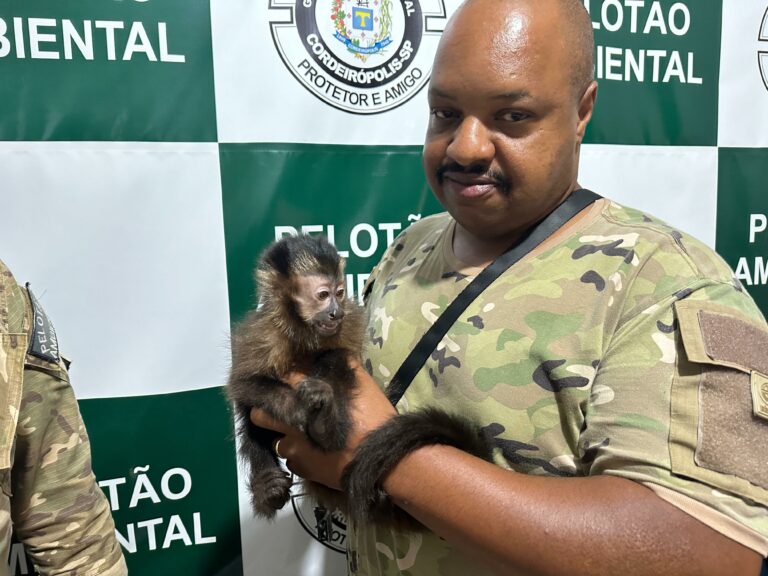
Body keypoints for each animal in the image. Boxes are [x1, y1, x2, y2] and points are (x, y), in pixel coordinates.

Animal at [226, 233, 494, 530]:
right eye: (323, 295)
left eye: (340, 293)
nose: (335, 313)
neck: (305, 334)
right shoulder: (265, 332)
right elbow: (242, 385)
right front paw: (294, 407)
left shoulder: (350, 320)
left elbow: (341, 356)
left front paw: (317, 416)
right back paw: (267, 486)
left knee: (334, 358)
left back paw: (325, 427)